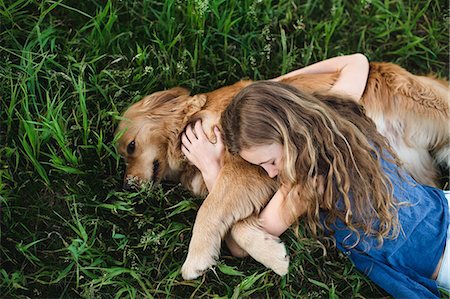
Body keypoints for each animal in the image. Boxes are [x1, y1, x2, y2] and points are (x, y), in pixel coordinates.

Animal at [117, 63, 450, 282]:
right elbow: (237, 226)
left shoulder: (247, 169)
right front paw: (271, 253)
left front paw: (195, 258)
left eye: (131, 146)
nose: (128, 185)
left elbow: (210, 210)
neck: (193, 119)